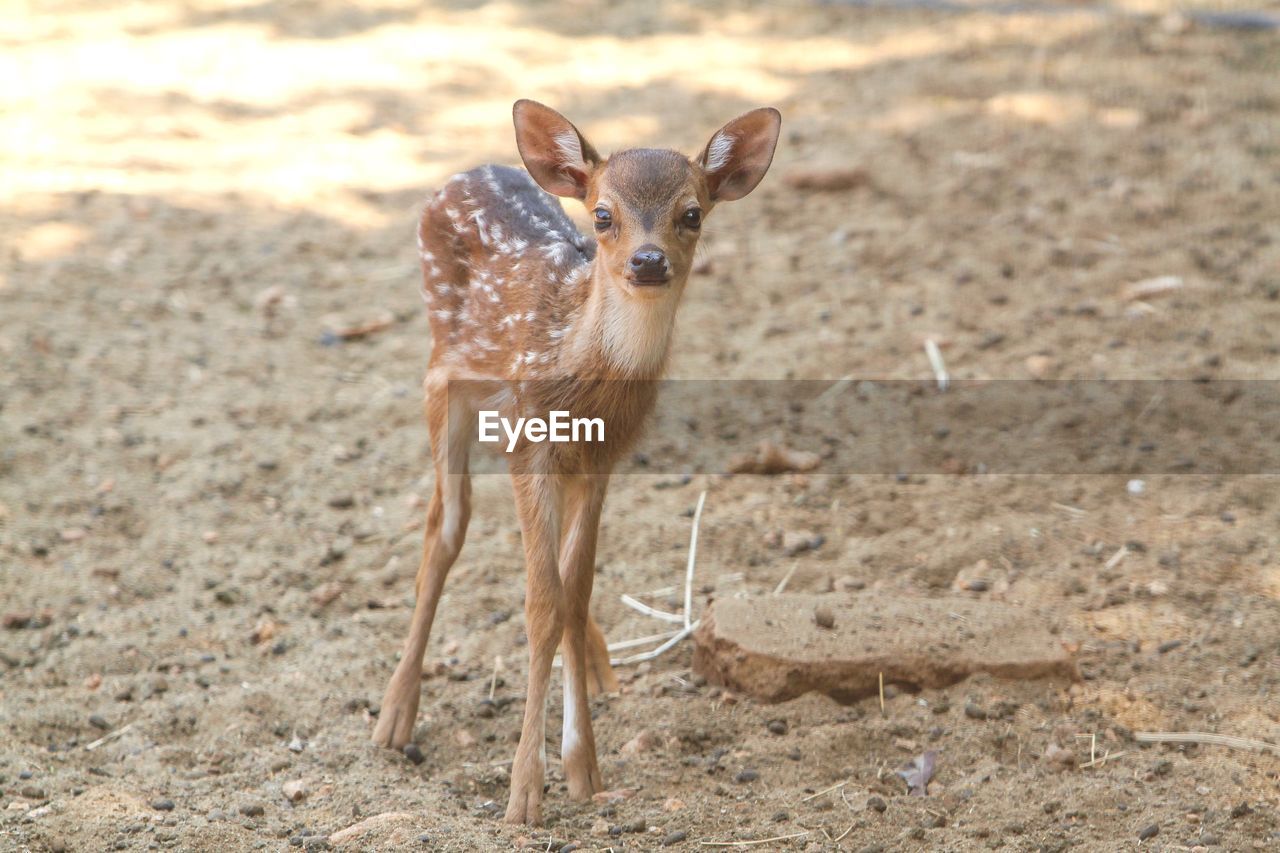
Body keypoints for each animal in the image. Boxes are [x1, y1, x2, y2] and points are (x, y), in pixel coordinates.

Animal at [371, 99, 778, 824]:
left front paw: (584, 768)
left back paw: (596, 663)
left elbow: (575, 587)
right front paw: (524, 794)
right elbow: (541, 603)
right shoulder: (528, 440)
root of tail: (463, 172)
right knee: (444, 527)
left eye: (692, 213)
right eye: (604, 215)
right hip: (441, 376)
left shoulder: (603, 457)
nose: (648, 261)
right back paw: (394, 716)